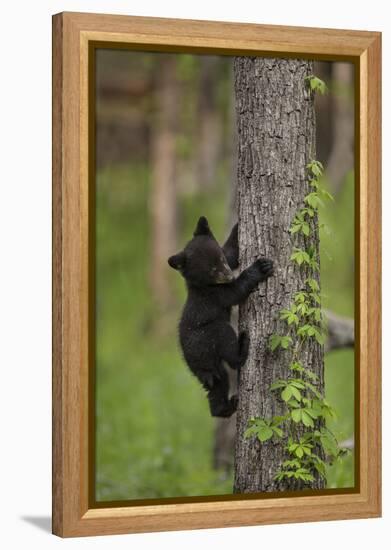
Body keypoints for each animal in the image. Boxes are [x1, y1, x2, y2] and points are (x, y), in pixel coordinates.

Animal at [168, 216, 272, 418]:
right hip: (208, 337)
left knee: (218, 383)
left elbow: (231, 252)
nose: (229, 276)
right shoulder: (214, 295)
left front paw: (238, 227)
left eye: (220, 259)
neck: (204, 285)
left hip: (209, 368)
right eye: (211, 269)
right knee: (228, 347)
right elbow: (236, 291)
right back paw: (242, 347)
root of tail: (194, 362)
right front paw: (260, 268)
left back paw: (224, 408)